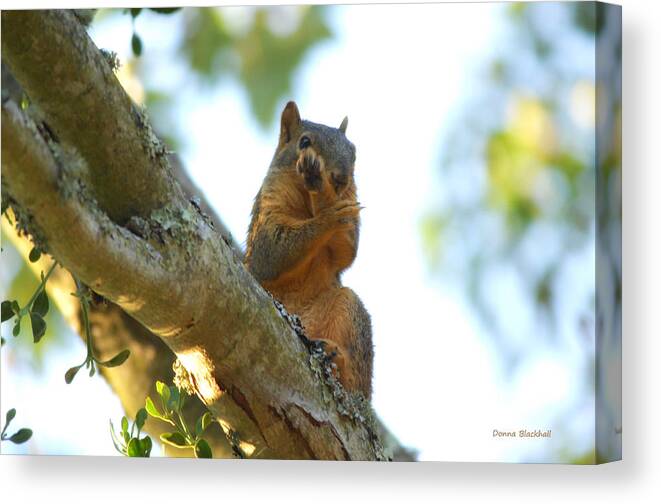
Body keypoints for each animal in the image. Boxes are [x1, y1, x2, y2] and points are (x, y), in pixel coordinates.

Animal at [245, 102, 374, 400]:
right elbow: (271, 253)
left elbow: (346, 252)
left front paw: (325, 197)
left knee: (357, 385)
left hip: (348, 308)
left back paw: (334, 356)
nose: (340, 177)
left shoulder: (350, 206)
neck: (306, 203)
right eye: (304, 142)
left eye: (353, 152)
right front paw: (324, 200)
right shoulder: (267, 211)